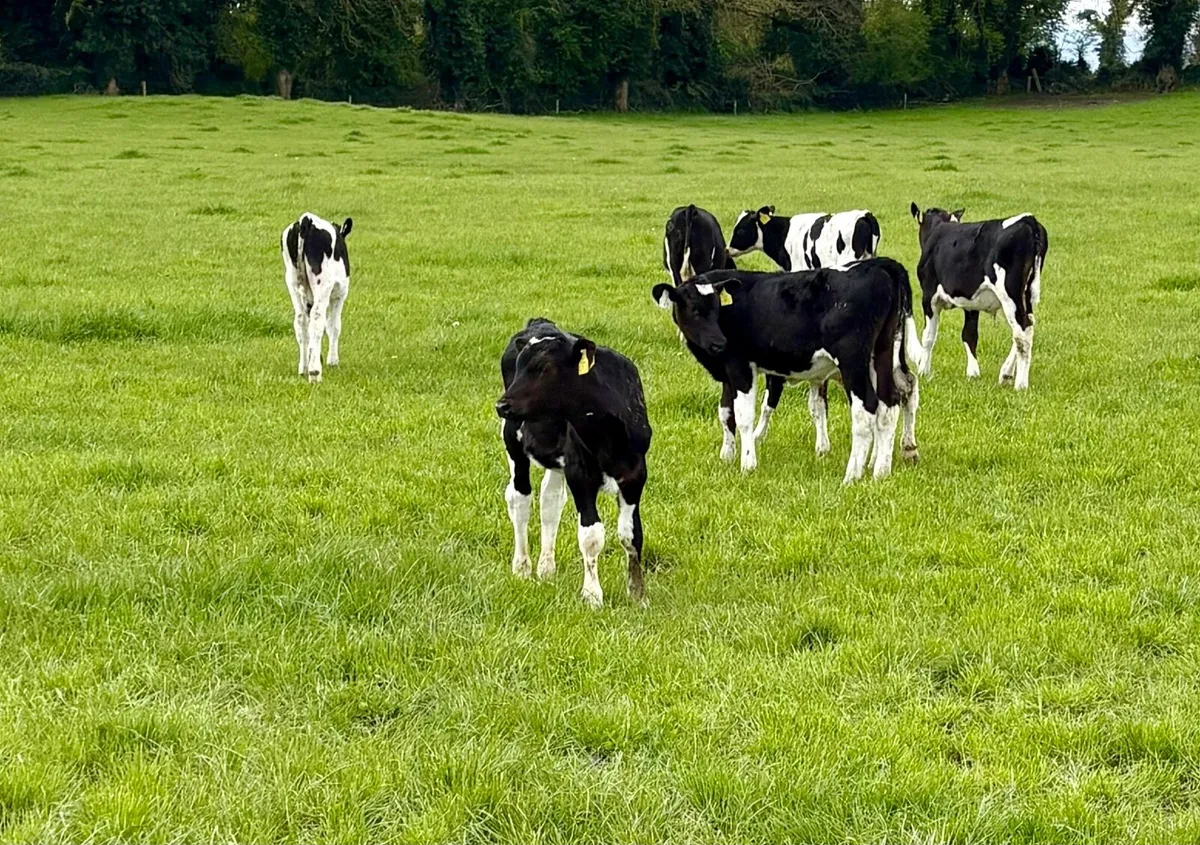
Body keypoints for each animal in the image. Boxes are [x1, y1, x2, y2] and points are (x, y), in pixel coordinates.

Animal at [280, 213, 352, 382]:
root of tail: (307, 219)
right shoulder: (340, 293)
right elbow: (334, 326)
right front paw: (332, 361)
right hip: (323, 283)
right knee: (318, 317)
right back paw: (314, 373)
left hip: (292, 281)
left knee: (300, 320)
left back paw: (304, 368)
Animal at [495, 319, 652, 608]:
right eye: (520, 365)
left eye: (544, 367)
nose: (502, 404)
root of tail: (540, 321)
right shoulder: (581, 474)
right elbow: (591, 536)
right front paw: (592, 596)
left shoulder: (635, 475)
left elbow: (631, 535)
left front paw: (637, 594)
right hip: (513, 441)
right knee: (519, 498)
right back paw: (522, 568)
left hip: (558, 461)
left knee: (550, 501)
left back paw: (546, 569)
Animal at [651, 258, 920, 483]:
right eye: (695, 311)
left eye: (717, 309)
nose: (719, 343)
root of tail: (878, 265)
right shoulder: (727, 373)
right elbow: (726, 413)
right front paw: (727, 455)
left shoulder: (740, 367)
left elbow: (744, 417)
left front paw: (747, 463)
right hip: (882, 353)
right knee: (891, 402)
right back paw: (881, 470)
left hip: (852, 360)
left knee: (867, 410)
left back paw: (852, 474)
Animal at [909, 204, 1048, 390]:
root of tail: (1029, 219)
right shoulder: (971, 303)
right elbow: (969, 335)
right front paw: (973, 373)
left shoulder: (929, 297)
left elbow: (928, 336)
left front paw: (923, 371)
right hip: (1026, 294)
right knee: (1029, 325)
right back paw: (1006, 373)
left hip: (1009, 293)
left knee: (1021, 331)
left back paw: (1020, 384)